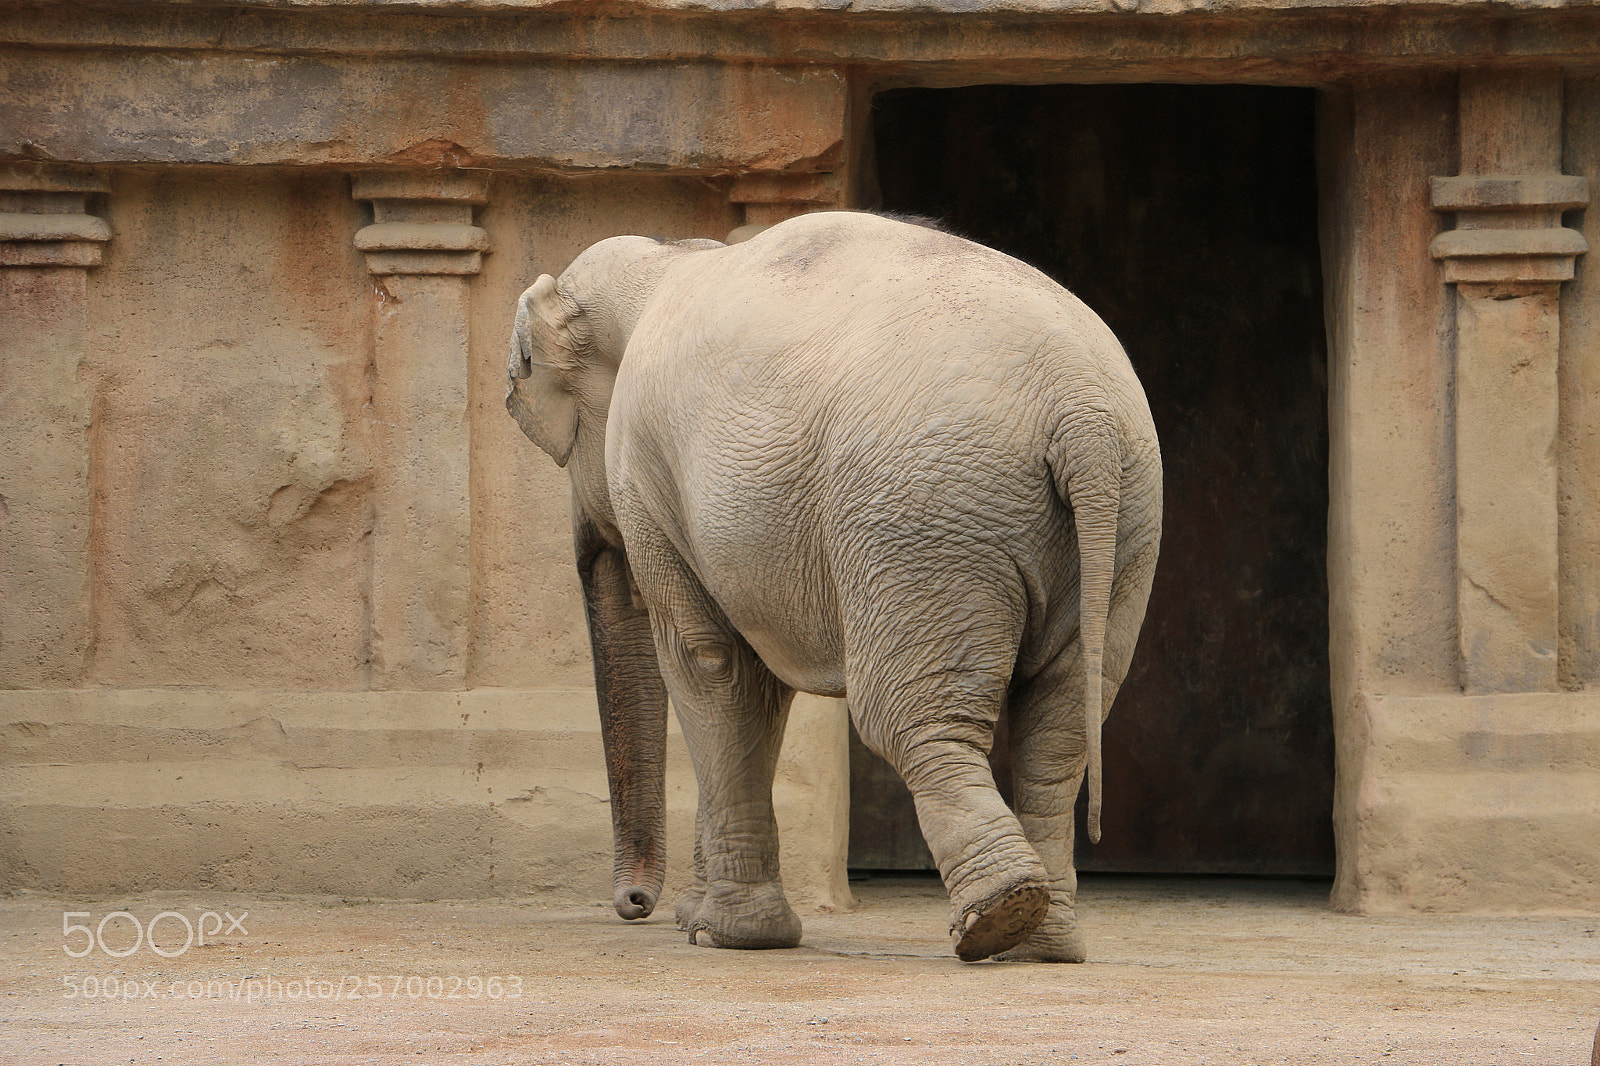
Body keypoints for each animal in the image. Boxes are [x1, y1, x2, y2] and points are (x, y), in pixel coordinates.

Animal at [506, 211, 1161, 962]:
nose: (636, 906)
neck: (670, 255)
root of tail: (1080, 413)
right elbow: (756, 682)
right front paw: (704, 923)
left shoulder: (643, 471)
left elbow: (710, 663)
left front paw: (726, 936)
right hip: (1121, 525)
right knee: (1062, 724)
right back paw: (1041, 944)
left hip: (920, 520)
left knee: (906, 716)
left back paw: (997, 917)